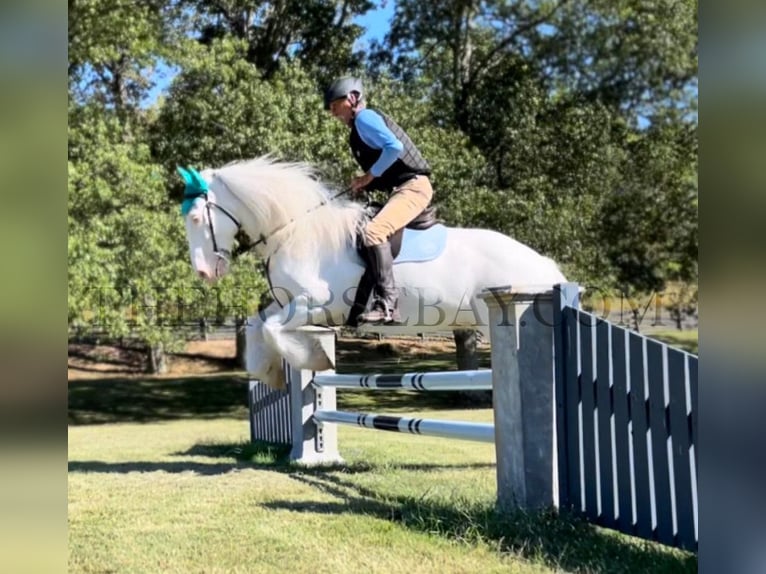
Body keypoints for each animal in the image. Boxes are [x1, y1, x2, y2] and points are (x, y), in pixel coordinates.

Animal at [178, 159, 564, 392]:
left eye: (196, 218)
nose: (204, 272)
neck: (296, 232)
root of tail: (543, 264)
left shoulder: (316, 304)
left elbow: (272, 330)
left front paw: (311, 358)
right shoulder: (288, 303)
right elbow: (258, 325)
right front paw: (269, 373)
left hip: (497, 313)